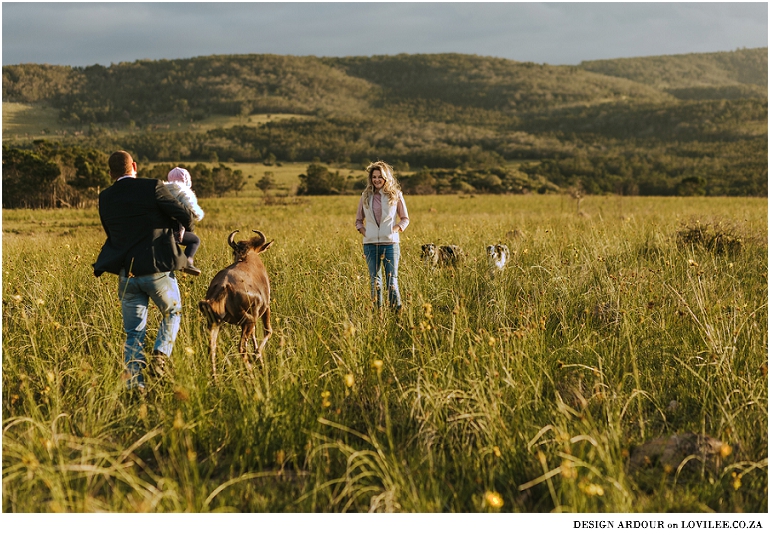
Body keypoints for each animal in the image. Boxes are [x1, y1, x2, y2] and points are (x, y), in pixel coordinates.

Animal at [198, 229, 272, 376]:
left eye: (234, 252)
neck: (248, 257)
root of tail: (224, 286)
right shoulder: (265, 308)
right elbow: (268, 332)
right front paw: (258, 357)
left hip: (215, 322)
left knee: (212, 348)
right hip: (248, 320)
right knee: (241, 348)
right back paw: (250, 373)